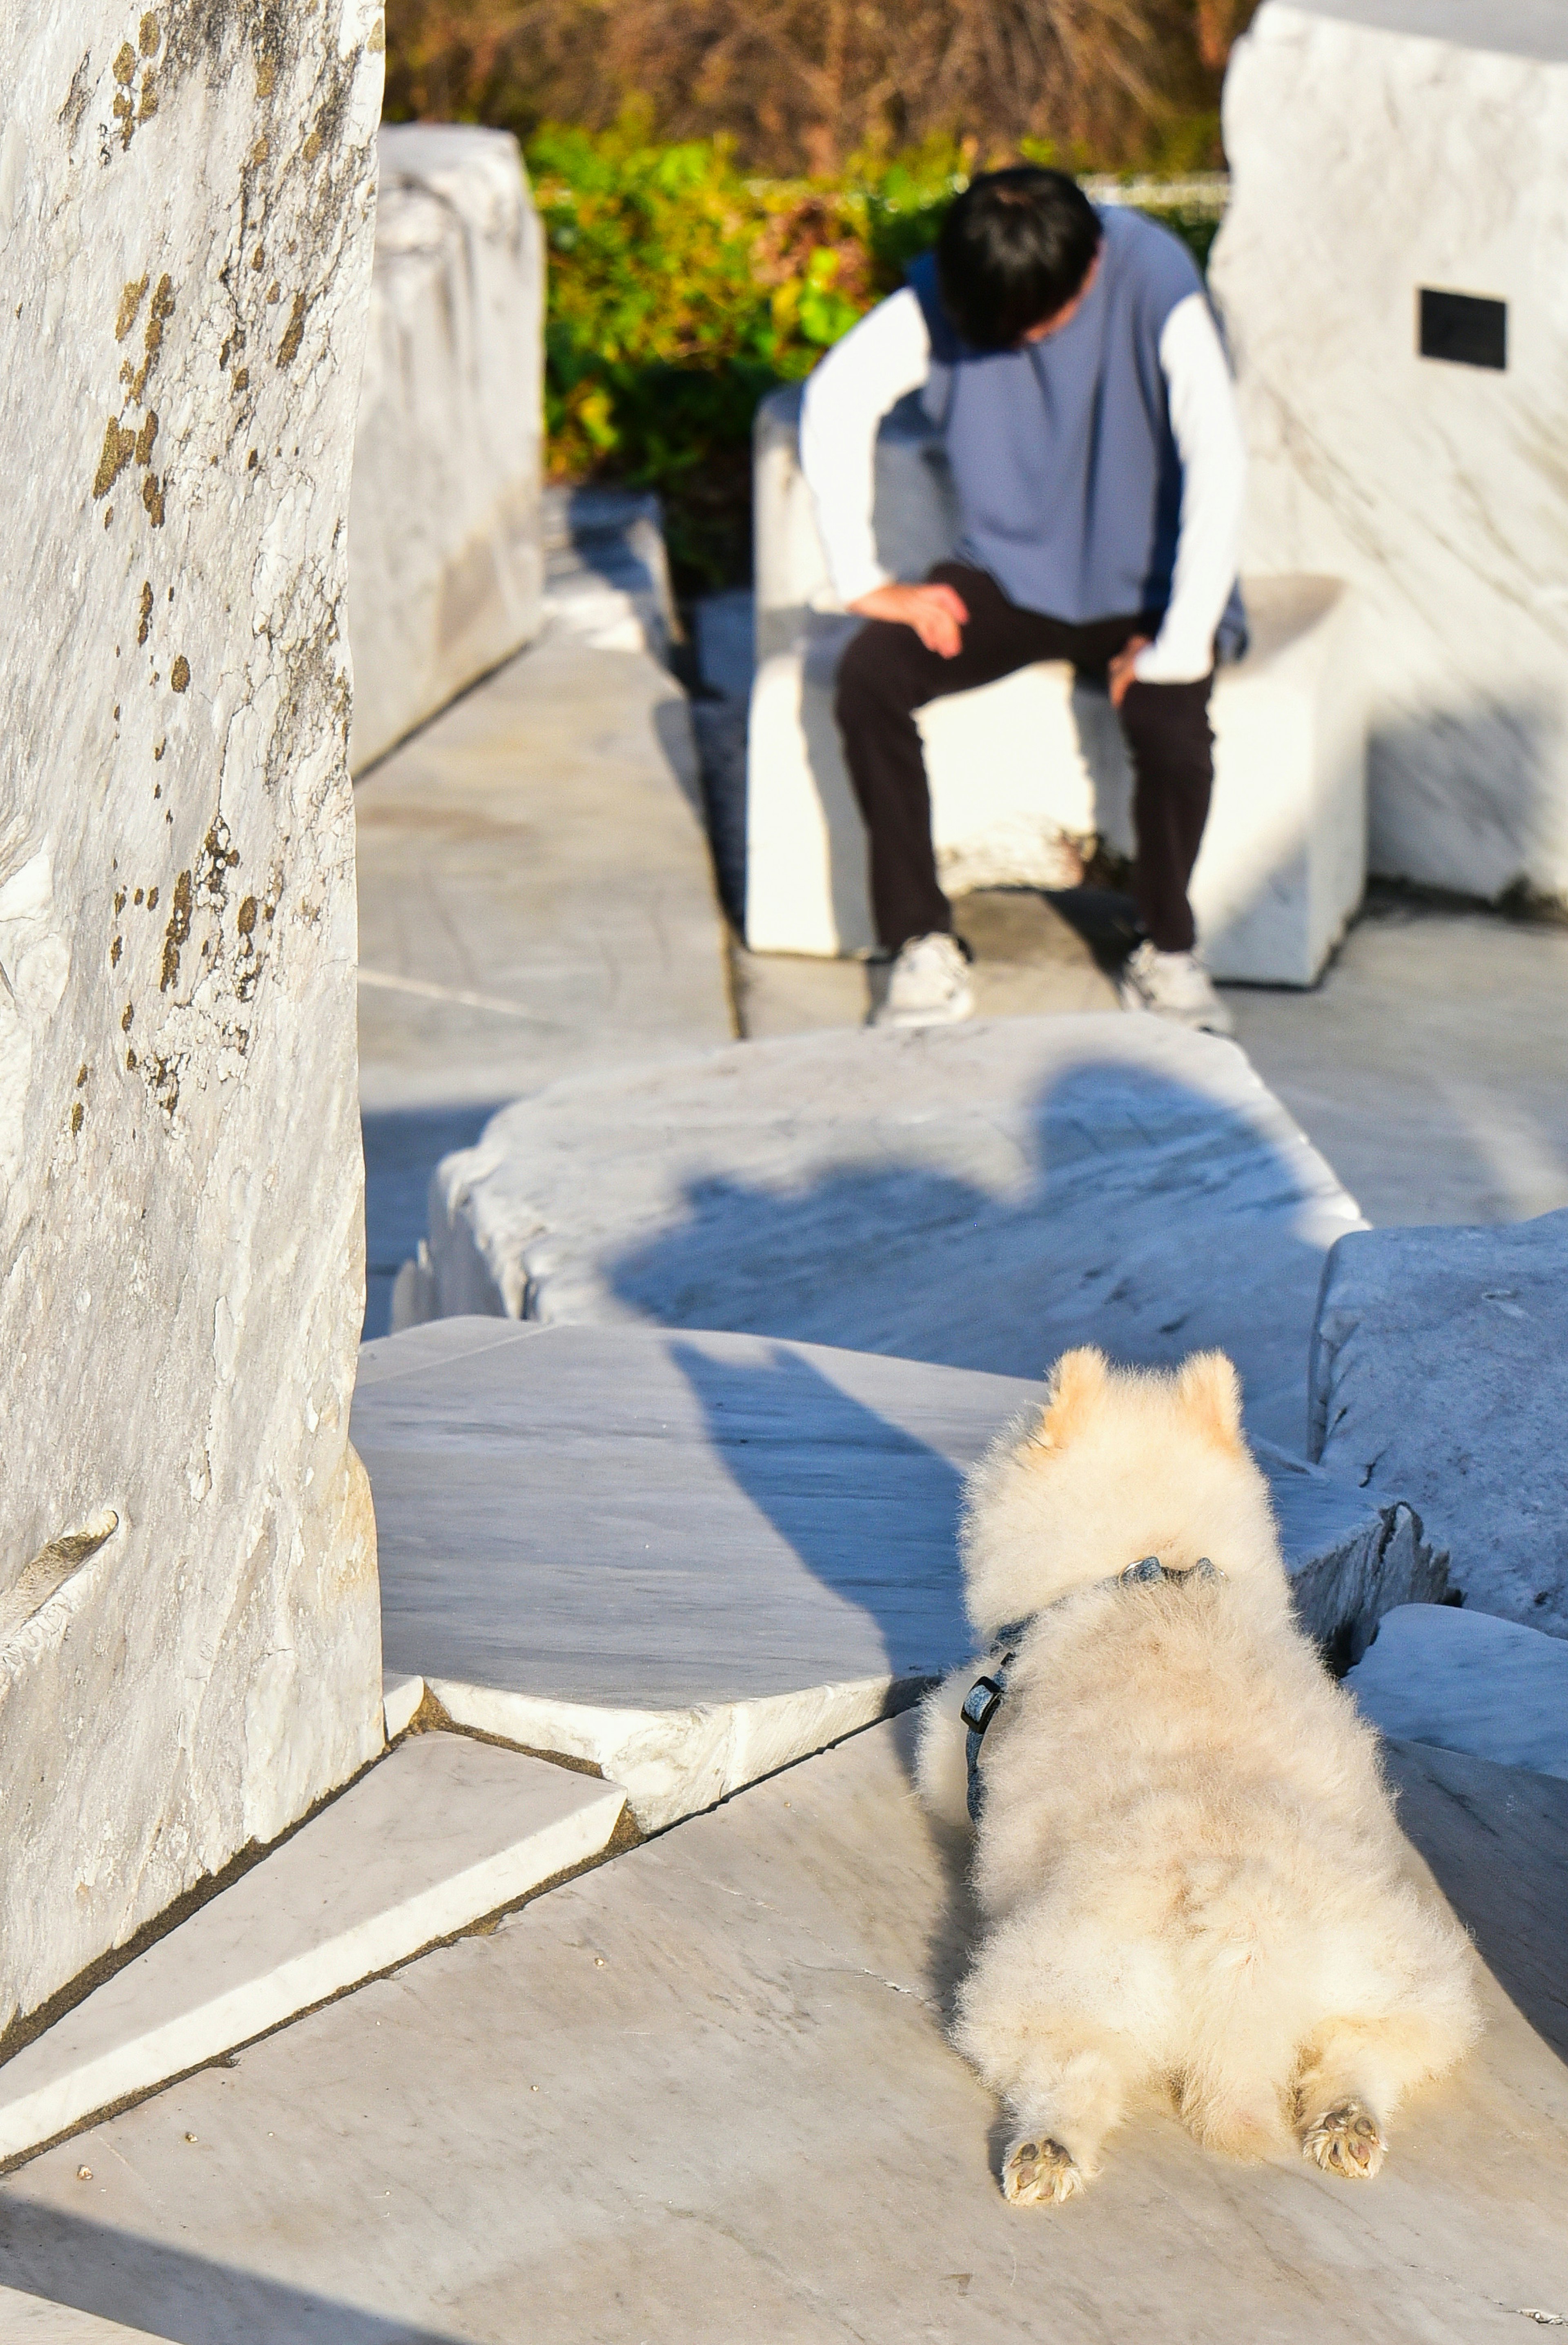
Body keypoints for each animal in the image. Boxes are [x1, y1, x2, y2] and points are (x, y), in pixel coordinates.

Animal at [909, 1350, 1472, 2204]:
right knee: (1365, 2052)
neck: (1154, 1564)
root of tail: (1242, 1916)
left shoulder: (959, 1726)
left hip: (1041, 1983)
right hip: (1405, 1973)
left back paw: (1046, 2153)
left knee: (1072, 2073)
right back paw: (1348, 2126)